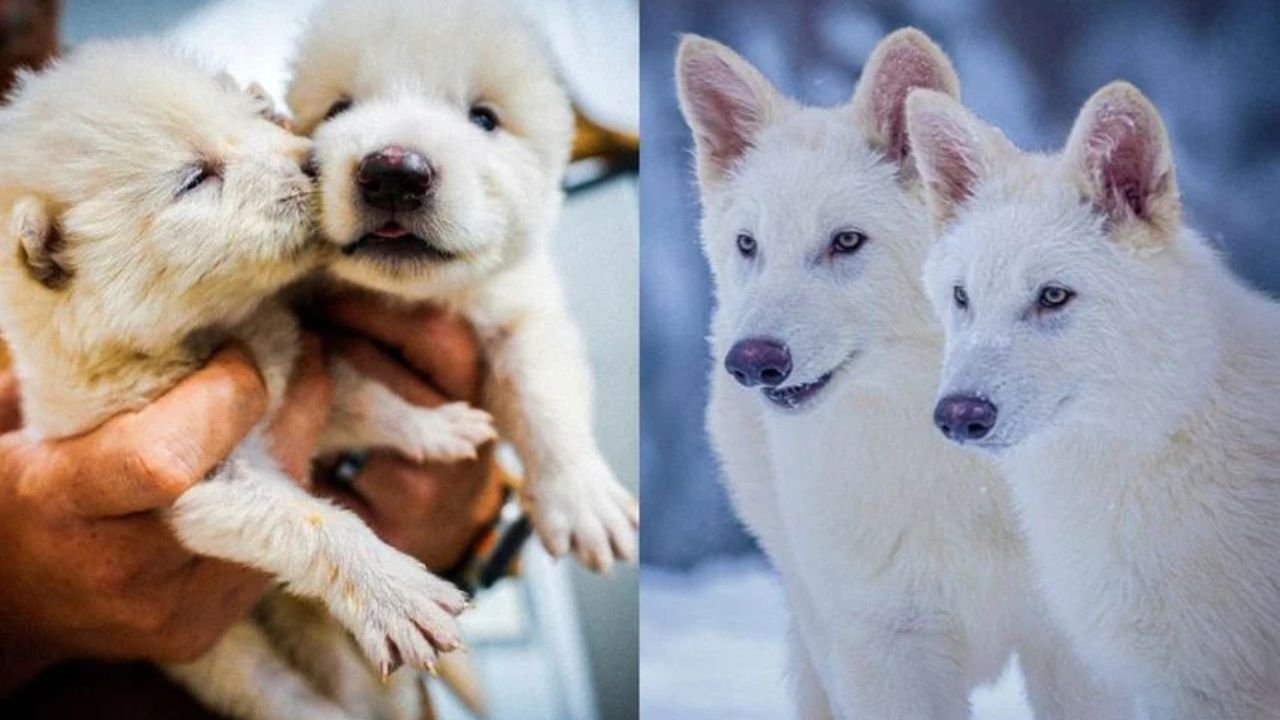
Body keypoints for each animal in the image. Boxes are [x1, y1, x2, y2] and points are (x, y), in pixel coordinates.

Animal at [677, 28, 1122, 719]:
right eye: (749, 245)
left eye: (846, 241)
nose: (751, 361)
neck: (959, 475)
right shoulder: (884, 647)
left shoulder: (1071, 649)